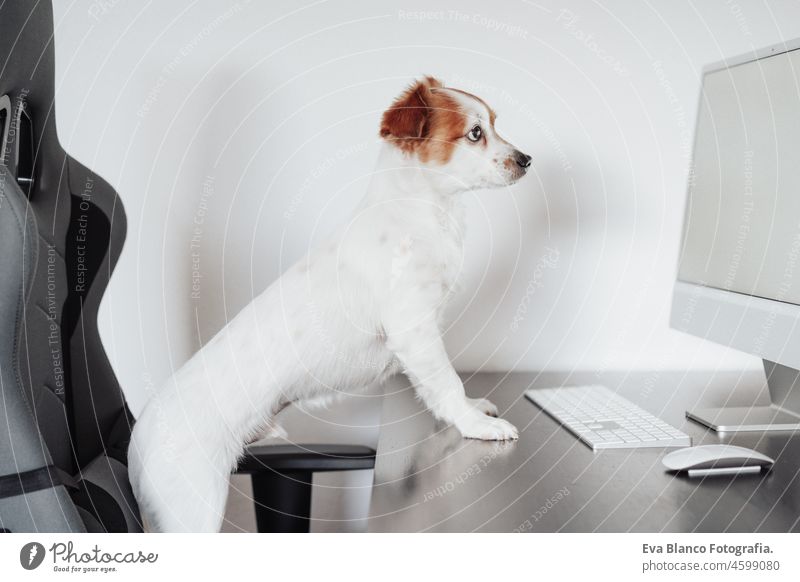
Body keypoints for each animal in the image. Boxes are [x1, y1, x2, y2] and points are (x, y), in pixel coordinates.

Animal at [130, 77, 532, 532]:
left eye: (494, 124)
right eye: (475, 133)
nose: (527, 160)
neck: (424, 212)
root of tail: (135, 441)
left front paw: (473, 410)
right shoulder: (414, 330)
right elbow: (447, 382)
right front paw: (475, 424)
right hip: (194, 510)